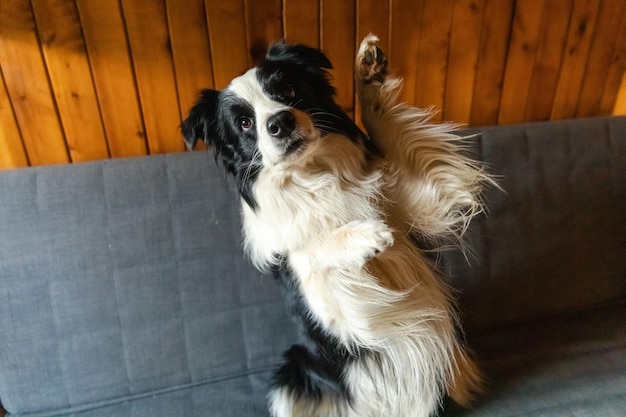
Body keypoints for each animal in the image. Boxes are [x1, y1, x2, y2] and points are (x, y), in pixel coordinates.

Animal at [180, 35, 492, 416]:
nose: (280, 122)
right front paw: (365, 236)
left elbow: (381, 123)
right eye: (244, 123)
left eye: (288, 89)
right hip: (290, 376)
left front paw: (367, 72)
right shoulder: (340, 312)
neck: (315, 176)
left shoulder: (426, 203)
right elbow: (309, 249)